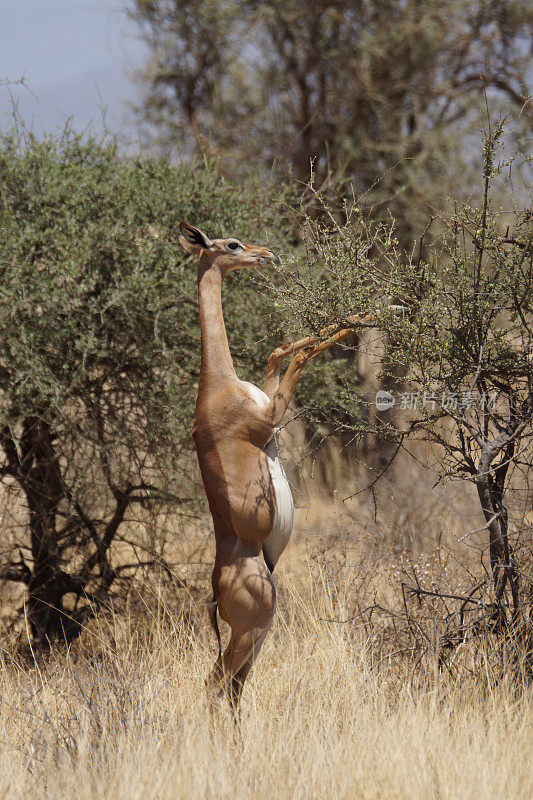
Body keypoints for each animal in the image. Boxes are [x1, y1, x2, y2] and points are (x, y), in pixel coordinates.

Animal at [181, 222, 380, 708]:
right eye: (230, 245)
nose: (265, 254)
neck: (217, 385)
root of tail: (215, 589)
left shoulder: (270, 406)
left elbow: (280, 348)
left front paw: (363, 312)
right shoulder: (269, 420)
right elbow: (300, 355)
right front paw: (364, 316)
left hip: (261, 631)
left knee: (233, 687)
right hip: (252, 628)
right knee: (214, 684)